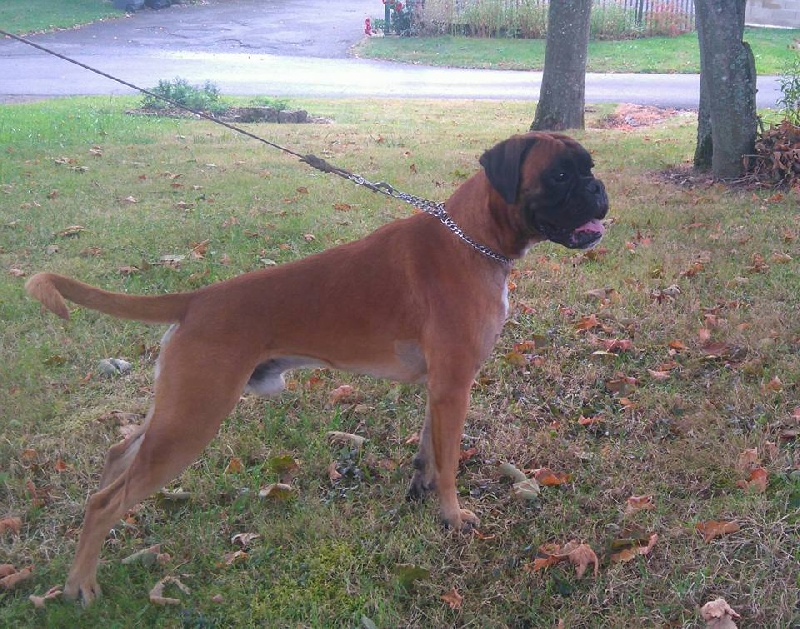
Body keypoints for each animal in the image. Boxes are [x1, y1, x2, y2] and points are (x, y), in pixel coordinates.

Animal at [25, 131, 608, 604]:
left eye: (589, 165)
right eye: (560, 175)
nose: (599, 189)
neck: (472, 236)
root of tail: (198, 300)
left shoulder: (440, 390)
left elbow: (428, 454)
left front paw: (419, 498)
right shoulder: (454, 388)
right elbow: (448, 465)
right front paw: (452, 517)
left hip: (173, 411)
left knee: (116, 455)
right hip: (192, 420)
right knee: (105, 502)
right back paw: (80, 586)